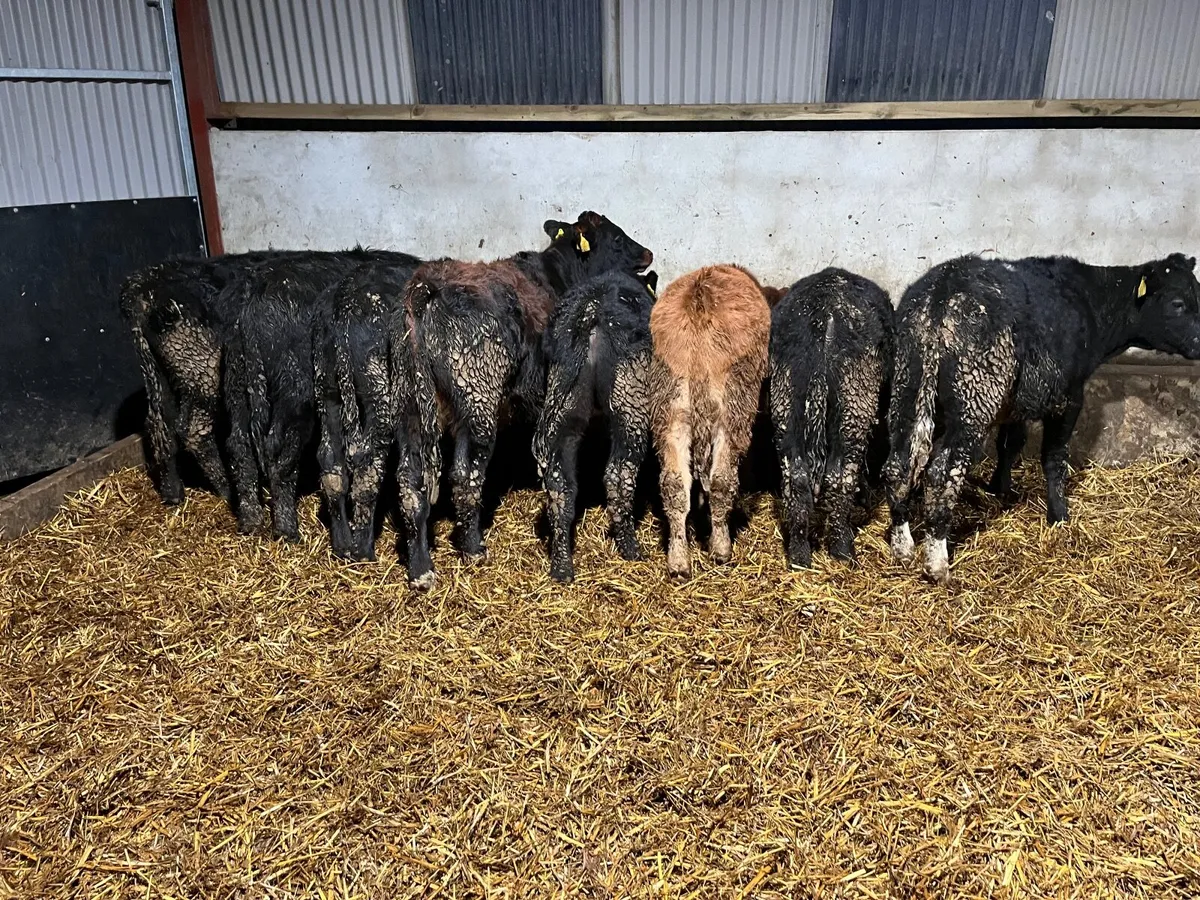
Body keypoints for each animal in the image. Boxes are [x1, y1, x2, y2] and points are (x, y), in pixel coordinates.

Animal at [532, 269, 659, 582]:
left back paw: (562, 567)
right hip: (630, 404)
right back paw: (630, 549)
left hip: (565, 407)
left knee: (560, 484)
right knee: (618, 474)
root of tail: (591, 312)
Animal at [649, 265, 776, 579]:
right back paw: (721, 549)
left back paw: (678, 562)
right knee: (720, 481)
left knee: (675, 486)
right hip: (730, 412)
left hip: (671, 412)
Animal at [769, 267, 893, 568]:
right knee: (841, 473)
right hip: (854, 398)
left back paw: (799, 554)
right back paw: (842, 549)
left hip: (785, 395)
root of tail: (823, 318)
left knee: (796, 476)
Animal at [884, 252, 1200, 583]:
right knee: (942, 473)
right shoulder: (1069, 397)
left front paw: (999, 488)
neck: (1090, 301)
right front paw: (1059, 515)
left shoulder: (1015, 404)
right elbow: (1054, 457)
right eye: (1178, 303)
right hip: (974, 397)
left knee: (898, 465)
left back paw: (902, 546)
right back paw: (937, 562)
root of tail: (942, 294)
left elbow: (1010, 444)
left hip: (907, 385)